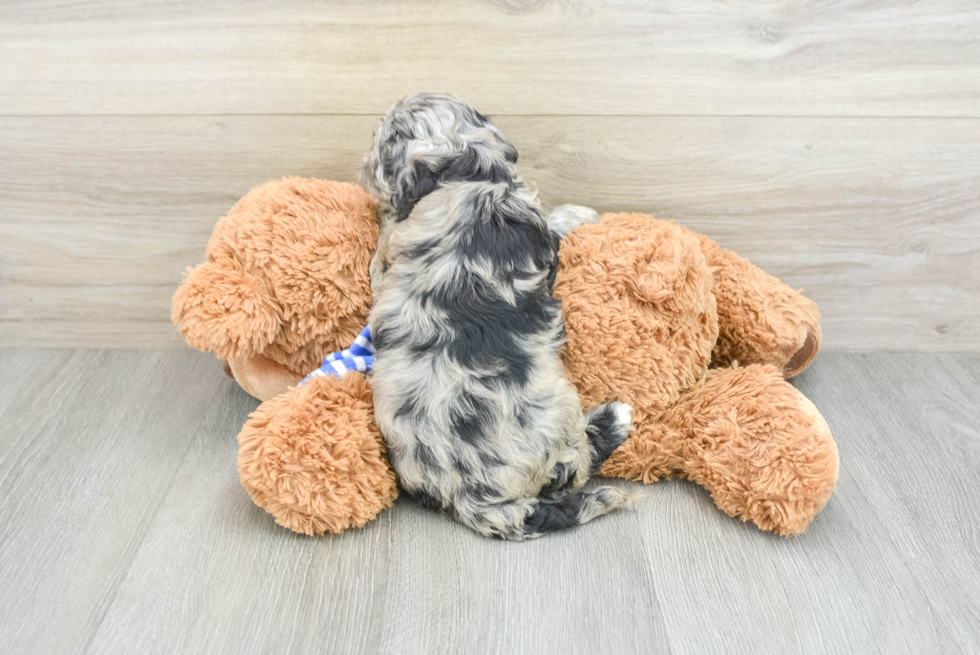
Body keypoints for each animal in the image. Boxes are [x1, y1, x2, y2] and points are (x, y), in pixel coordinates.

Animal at [360, 93, 636, 544]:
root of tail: (474, 502)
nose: (363, 166)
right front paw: (580, 212)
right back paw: (614, 418)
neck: (457, 179)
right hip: (559, 426)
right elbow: (555, 219)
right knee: (576, 468)